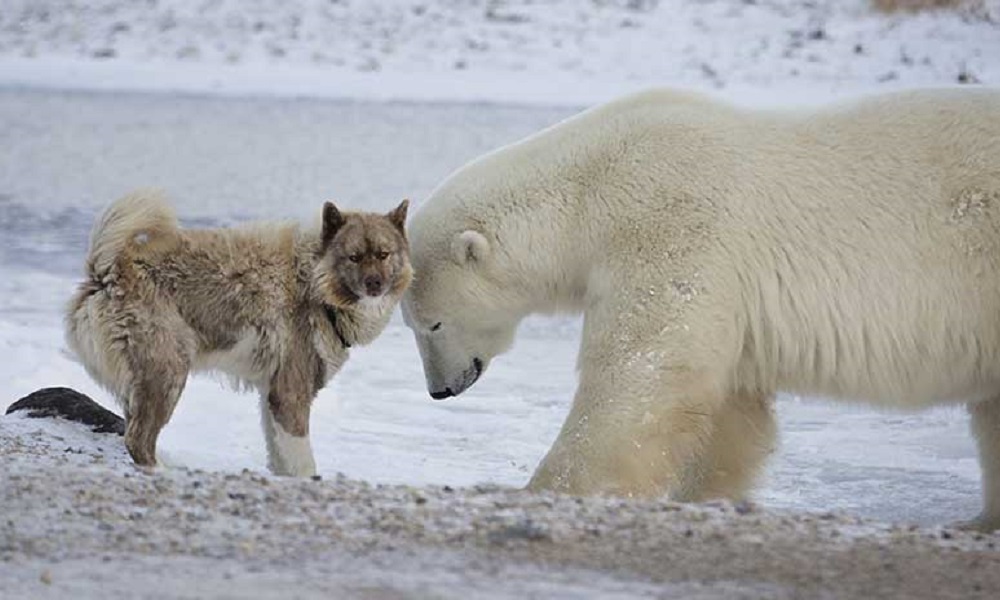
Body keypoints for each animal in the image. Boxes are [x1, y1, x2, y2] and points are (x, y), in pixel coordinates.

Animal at [65, 190, 410, 476]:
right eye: (354, 257)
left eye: (383, 254)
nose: (375, 284)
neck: (313, 281)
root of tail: (108, 272)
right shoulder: (290, 394)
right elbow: (303, 461)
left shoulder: (272, 395)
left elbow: (281, 456)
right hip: (167, 374)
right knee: (138, 439)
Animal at [402, 85, 1000, 528]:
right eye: (412, 324)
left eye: (431, 323)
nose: (439, 390)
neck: (590, 190)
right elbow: (730, 407)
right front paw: (701, 495)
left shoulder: (672, 225)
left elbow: (639, 376)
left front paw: (544, 488)